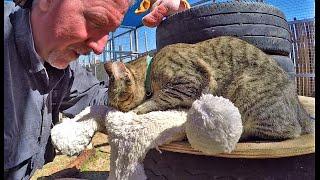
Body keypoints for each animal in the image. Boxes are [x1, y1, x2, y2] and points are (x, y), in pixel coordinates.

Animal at [104, 35, 314, 140]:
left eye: (115, 102)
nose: (111, 107)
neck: (150, 69)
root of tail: (299, 109)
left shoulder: (189, 81)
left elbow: (160, 97)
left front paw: (140, 108)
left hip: (246, 86)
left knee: (284, 131)